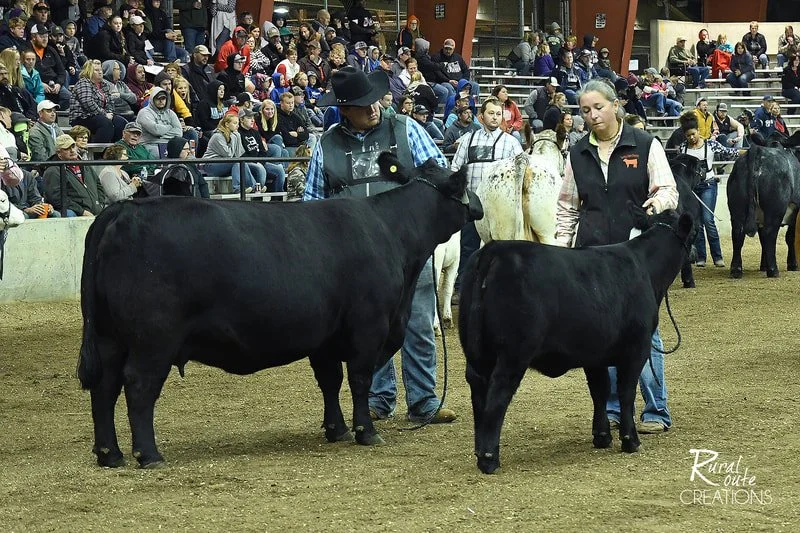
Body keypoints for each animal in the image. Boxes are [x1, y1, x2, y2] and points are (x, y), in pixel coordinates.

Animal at [77, 152, 483, 468]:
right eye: (460, 183)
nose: (478, 205)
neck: (391, 233)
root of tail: (122, 210)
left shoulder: (326, 336)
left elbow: (330, 381)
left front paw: (336, 429)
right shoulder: (368, 327)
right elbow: (359, 379)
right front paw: (365, 432)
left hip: (109, 336)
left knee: (104, 386)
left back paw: (109, 454)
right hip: (153, 339)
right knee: (138, 386)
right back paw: (148, 454)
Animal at [458, 209, 692, 474]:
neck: (644, 268)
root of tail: (493, 250)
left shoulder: (595, 354)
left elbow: (600, 390)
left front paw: (602, 436)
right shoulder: (636, 349)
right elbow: (626, 392)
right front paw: (630, 441)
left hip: (477, 355)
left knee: (479, 394)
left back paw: (479, 451)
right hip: (513, 355)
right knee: (497, 397)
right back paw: (489, 459)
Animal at [727, 139, 800, 278]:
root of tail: (758, 151)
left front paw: (763, 266)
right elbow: (790, 237)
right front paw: (793, 265)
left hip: (737, 209)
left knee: (738, 234)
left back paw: (736, 270)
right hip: (775, 210)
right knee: (769, 233)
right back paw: (773, 270)